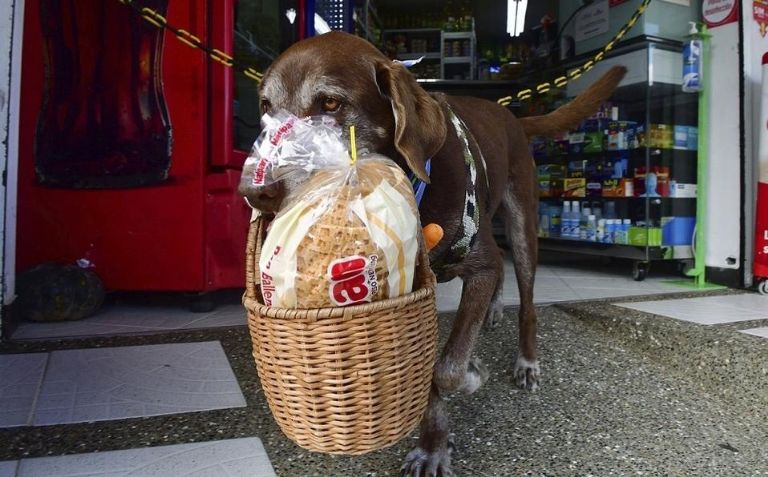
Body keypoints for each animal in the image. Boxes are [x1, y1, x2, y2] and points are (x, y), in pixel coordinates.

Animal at [246, 31, 624, 474]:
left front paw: (472, 375)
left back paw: (527, 360)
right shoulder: (411, 294)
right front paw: (434, 445)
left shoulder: (480, 266)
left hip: (522, 222)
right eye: (266, 108)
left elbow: (447, 367)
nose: (254, 192)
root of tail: (510, 114)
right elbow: (427, 371)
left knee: (527, 298)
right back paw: (494, 310)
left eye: (331, 104)